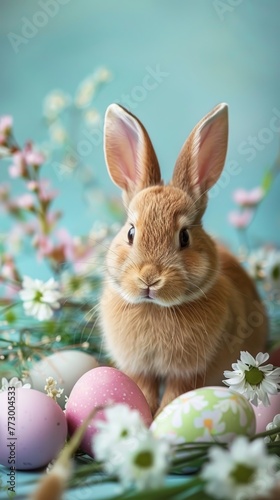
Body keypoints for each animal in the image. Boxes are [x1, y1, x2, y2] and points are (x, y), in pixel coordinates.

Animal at [99, 103, 268, 416]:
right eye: (131, 232)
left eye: (185, 237)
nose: (149, 278)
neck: (156, 308)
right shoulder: (140, 369)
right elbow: (142, 390)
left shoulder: (188, 373)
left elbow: (175, 395)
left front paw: (161, 419)